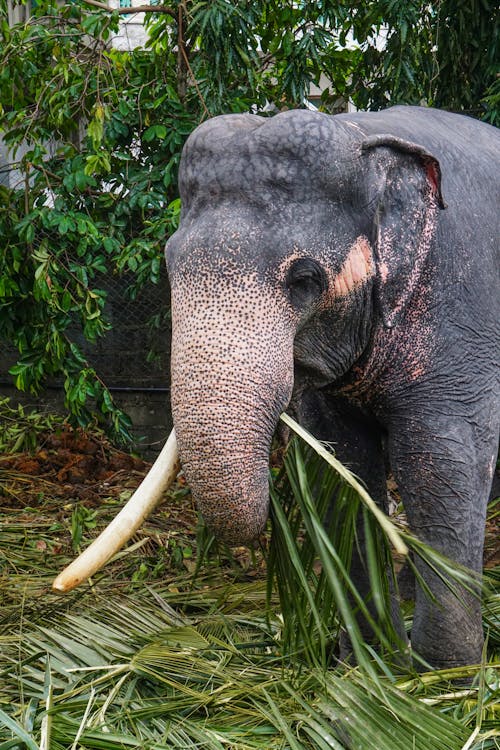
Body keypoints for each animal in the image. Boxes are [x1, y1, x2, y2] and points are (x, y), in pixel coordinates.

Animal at [52, 104, 498, 668]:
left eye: (304, 279)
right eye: (170, 266)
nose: (56, 588)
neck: (363, 132)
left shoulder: (462, 312)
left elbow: (441, 461)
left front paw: (441, 678)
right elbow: (345, 465)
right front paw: (367, 667)